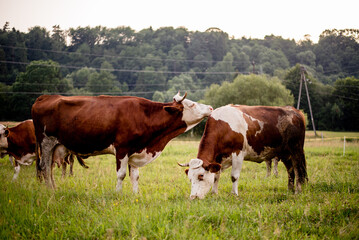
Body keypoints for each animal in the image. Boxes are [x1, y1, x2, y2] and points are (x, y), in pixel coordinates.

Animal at [31, 93, 214, 192]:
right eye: (192, 104)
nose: (211, 108)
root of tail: (45, 96)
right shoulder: (122, 149)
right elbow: (121, 174)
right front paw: (117, 193)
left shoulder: (135, 150)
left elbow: (135, 176)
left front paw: (135, 195)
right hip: (46, 142)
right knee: (45, 167)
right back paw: (50, 191)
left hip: (55, 146)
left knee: (49, 169)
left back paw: (53, 189)